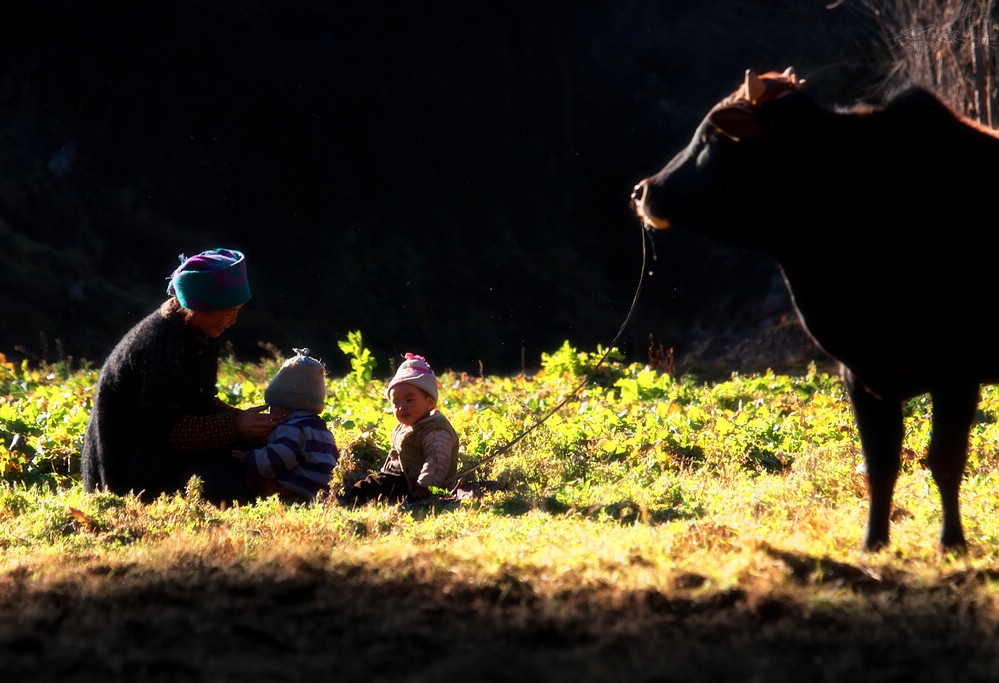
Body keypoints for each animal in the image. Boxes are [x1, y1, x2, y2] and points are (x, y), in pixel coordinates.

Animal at [632, 67, 999, 552]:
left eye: (712, 137)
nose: (644, 191)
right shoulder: (859, 374)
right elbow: (880, 464)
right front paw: (872, 544)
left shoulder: (956, 372)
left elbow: (944, 460)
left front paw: (951, 543)